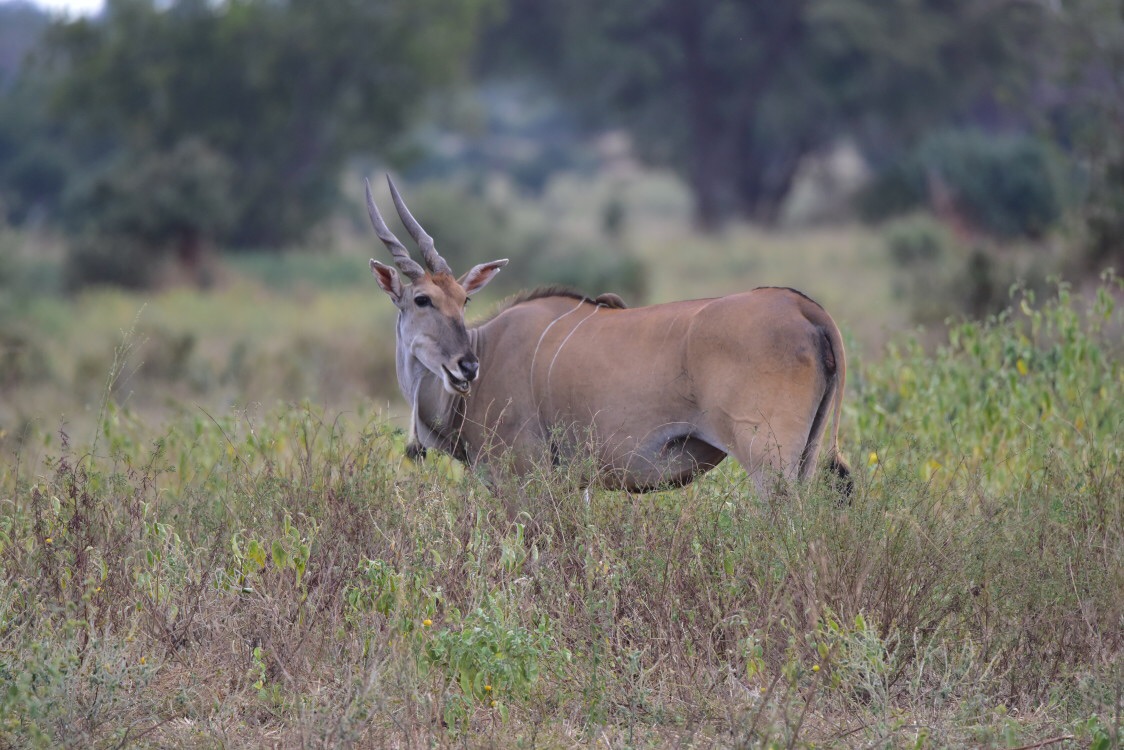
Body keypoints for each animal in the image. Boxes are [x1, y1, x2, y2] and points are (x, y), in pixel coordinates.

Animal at [368, 173, 849, 494]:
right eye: (423, 300)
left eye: (463, 300)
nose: (466, 366)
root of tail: (804, 307)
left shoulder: (522, 477)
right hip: (805, 459)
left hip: (769, 463)